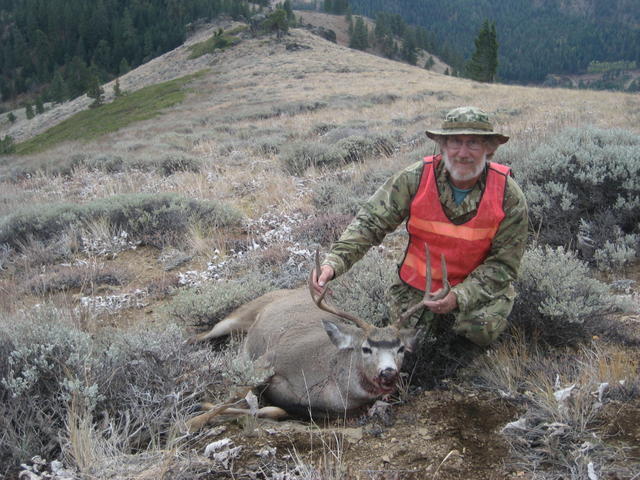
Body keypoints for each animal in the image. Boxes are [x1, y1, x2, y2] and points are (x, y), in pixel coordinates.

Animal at [191, 246, 450, 422]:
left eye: (401, 348)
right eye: (365, 348)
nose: (388, 372)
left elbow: (275, 409)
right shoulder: (272, 356)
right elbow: (233, 394)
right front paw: (193, 419)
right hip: (238, 316)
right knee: (200, 337)